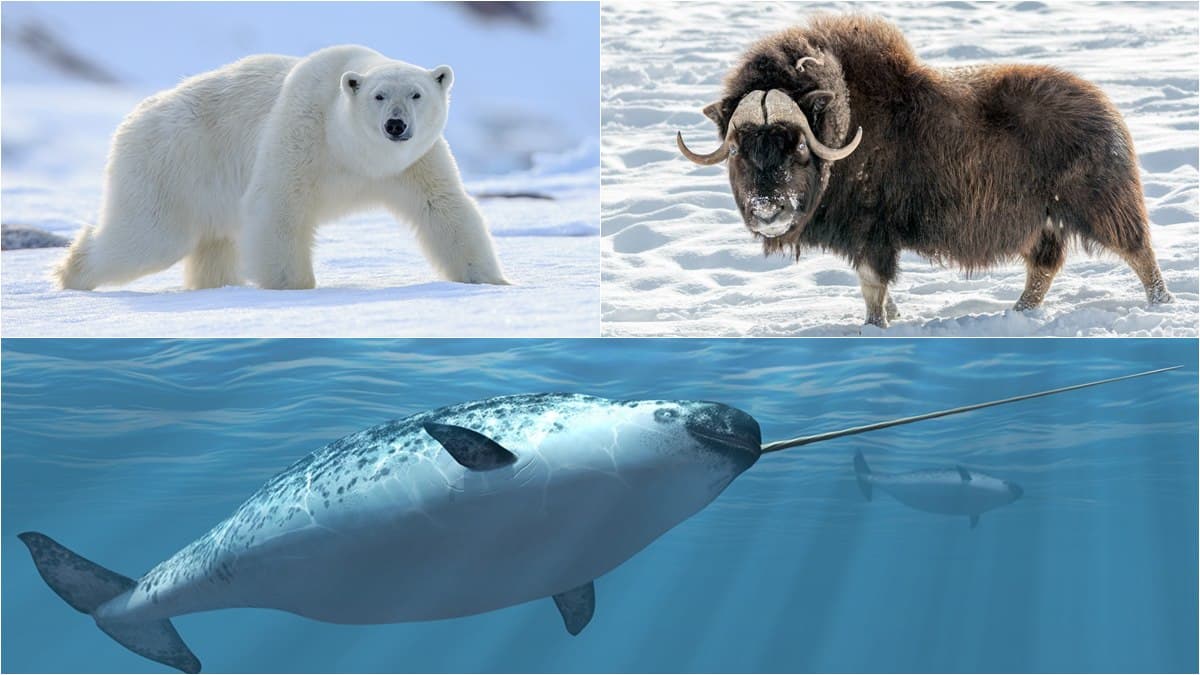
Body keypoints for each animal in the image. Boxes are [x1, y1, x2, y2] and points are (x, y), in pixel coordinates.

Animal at [56, 45, 509, 291]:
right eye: (379, 96)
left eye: (416, 94)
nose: (395, 125)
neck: (354, 152)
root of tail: (132, 119)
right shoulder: (302, 129)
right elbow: (278, 205)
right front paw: (295, 288)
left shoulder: (414, 163)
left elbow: (444, 208)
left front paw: (492, 281)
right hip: (169, 166)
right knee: (148, 237)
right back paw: (71, 273)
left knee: (213, 246)